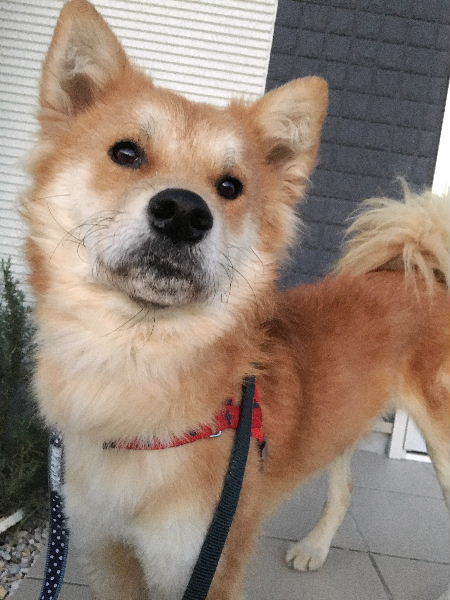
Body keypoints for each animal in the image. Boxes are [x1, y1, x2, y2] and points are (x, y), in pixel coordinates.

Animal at [23, 1, 450, 598]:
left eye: (230, 187)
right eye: (125, 153)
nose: (184, 212)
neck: (131, 384)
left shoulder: (207, 561)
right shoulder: (105, 553)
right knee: (343, 488)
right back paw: (315, 548)